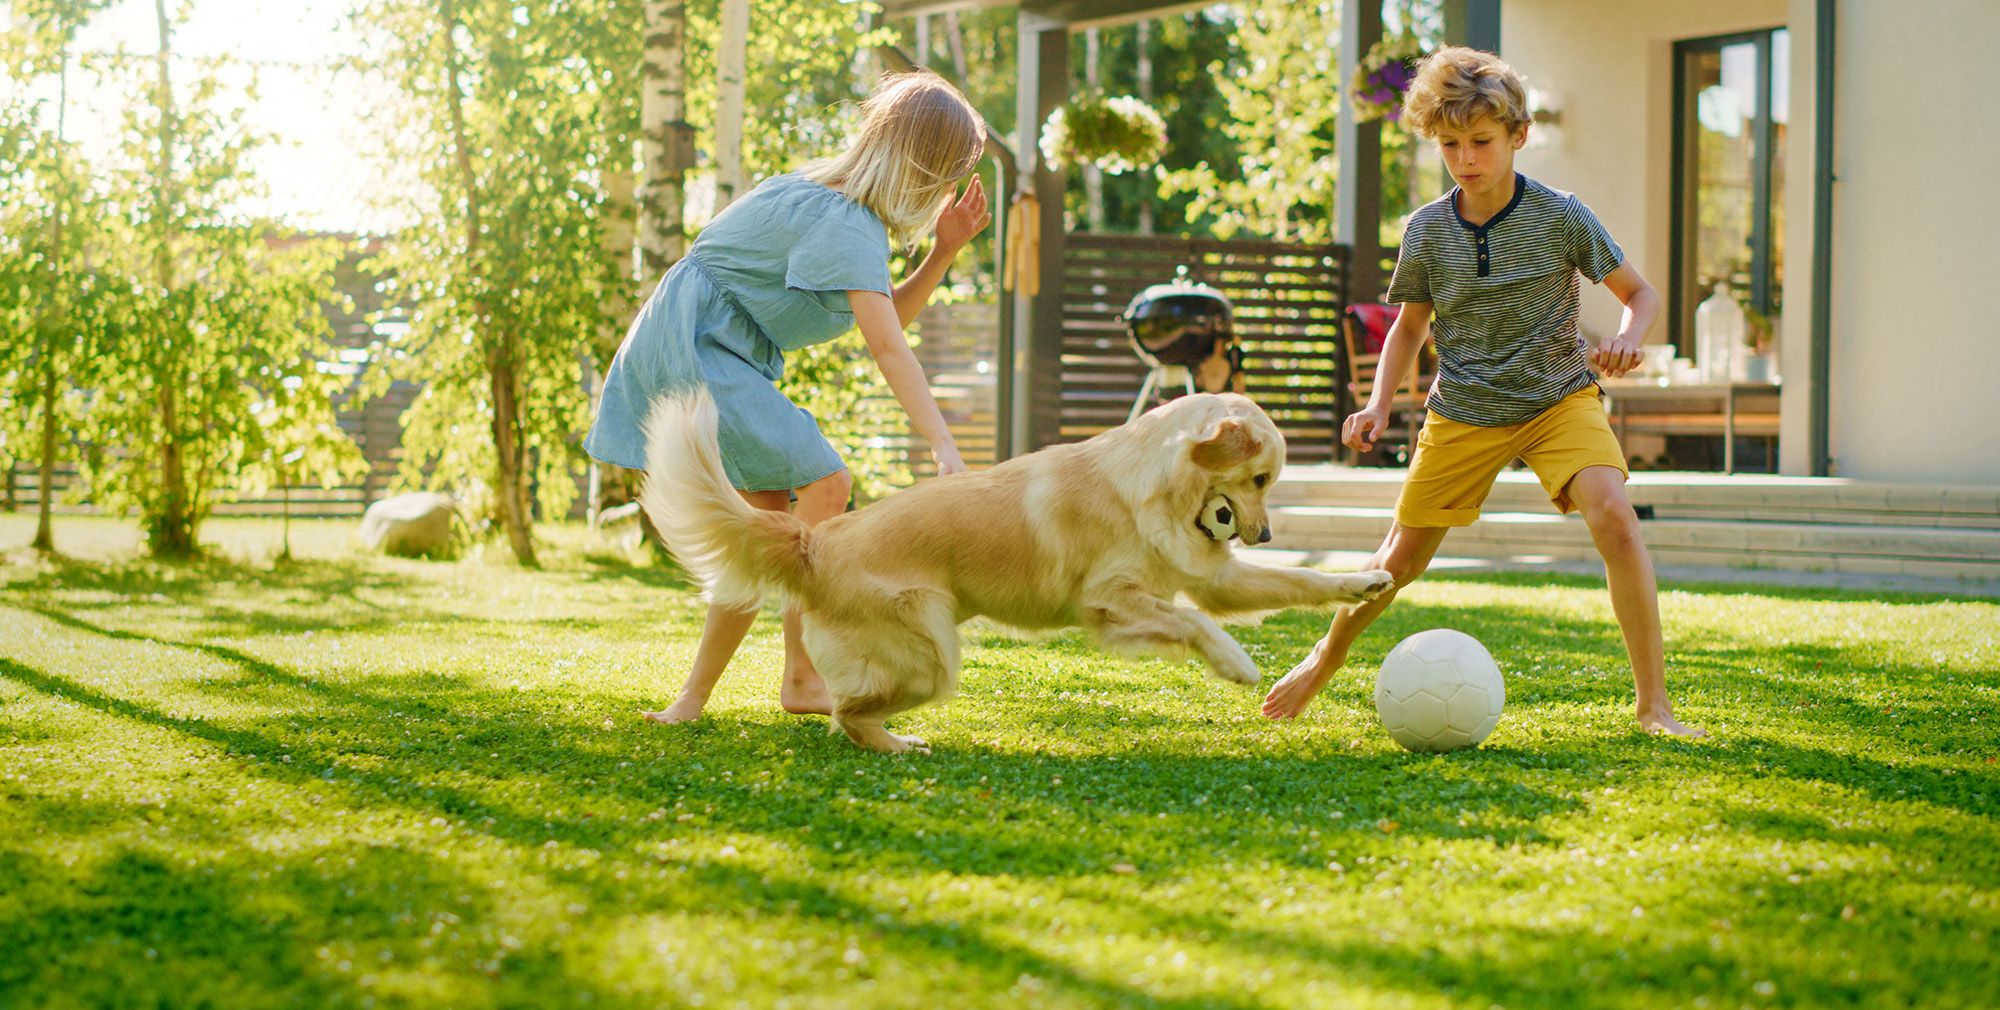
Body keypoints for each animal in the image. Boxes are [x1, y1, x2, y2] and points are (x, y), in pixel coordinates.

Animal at [640, 390, 1392, 752]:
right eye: (1260, 477)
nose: (1264, 532)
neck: (1153, 486)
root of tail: (814, 541)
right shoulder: (1108, 598)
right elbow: (1192, 619)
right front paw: (1235, 662)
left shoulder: (1206, 576)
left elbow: (1295, 583)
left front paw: (1362, 581)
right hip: (933, 653)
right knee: (849, 712)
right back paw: (896, 743)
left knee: (847, 709)